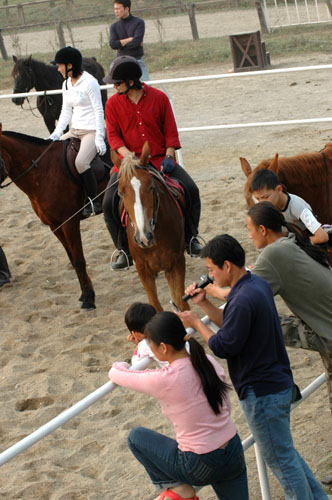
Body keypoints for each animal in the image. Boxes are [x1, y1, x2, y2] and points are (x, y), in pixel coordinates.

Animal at [0, 125, 111, 308]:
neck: (42, 170)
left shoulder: (69, 223)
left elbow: (79, 260)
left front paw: (89, 299)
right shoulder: (55, 226)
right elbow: (72, 260)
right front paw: (85, 294)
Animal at [112, 143, 188, 310]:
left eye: (152, 187)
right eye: (120, 193)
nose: (143, 237)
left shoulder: (177, 263)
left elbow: (181, 303)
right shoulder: (143, 271)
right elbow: (156, 306)